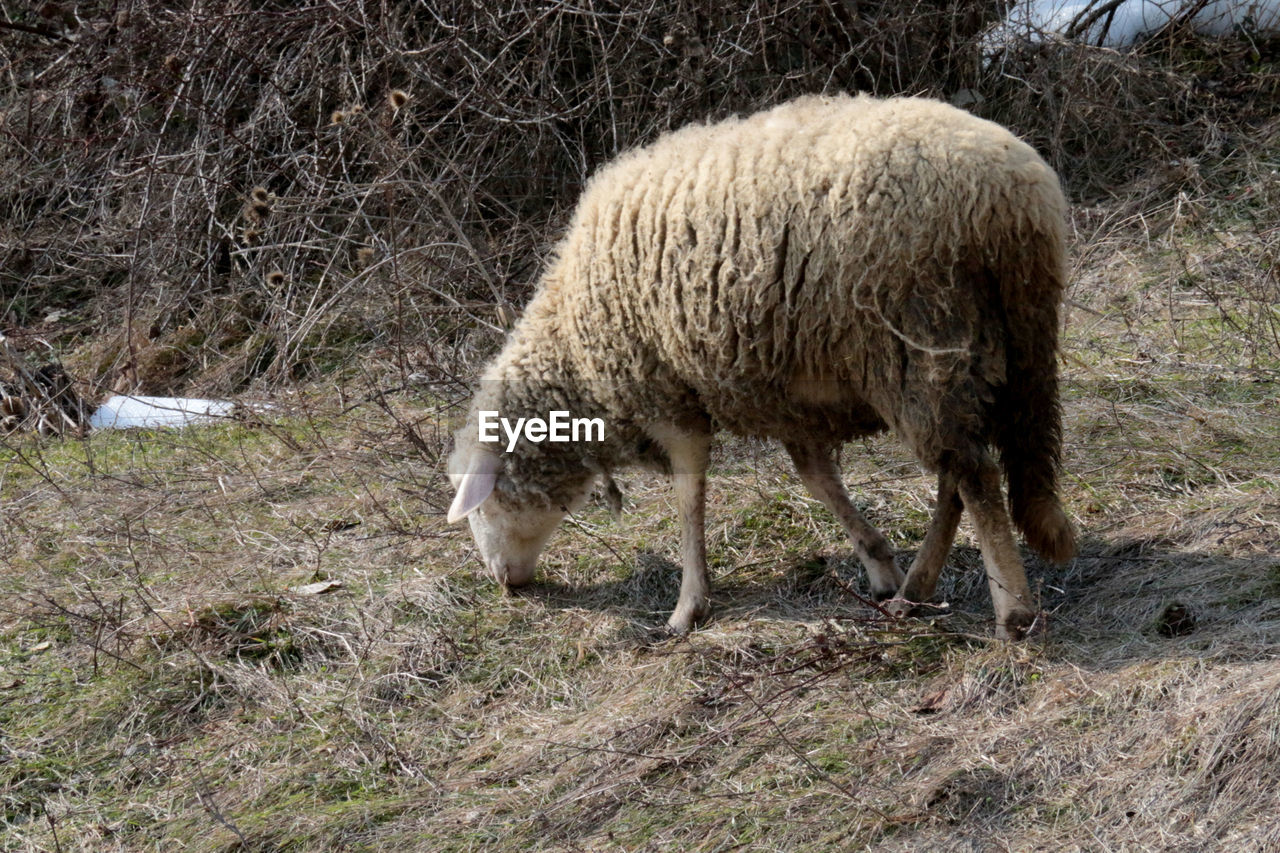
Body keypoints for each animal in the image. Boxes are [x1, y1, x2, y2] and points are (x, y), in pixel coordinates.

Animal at [445, 92, 1075, 637]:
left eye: (483, 505)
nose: (503, 584)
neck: (575, 352)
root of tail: (1015, 196)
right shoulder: (788, 397)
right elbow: (817, 479)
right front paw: (877, 563)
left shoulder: (672, 401)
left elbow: (689, 499)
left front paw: (689, 605)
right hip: (983, 349)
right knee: (956, 473)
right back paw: (915, 589)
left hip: (920, 339)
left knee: (974, 475)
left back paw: (1013, 611)